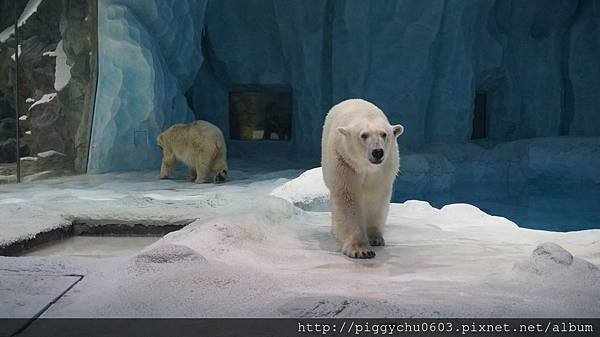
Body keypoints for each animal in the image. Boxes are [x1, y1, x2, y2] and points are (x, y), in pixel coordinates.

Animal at [322, 98, 406, 258]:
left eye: (384, 134)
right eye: (364, 135)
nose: (377, 152)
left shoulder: (383, 169)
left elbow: (375, 197)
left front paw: (374, 238)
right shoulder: (344, 161)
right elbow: (348, 197)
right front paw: (360, 249)